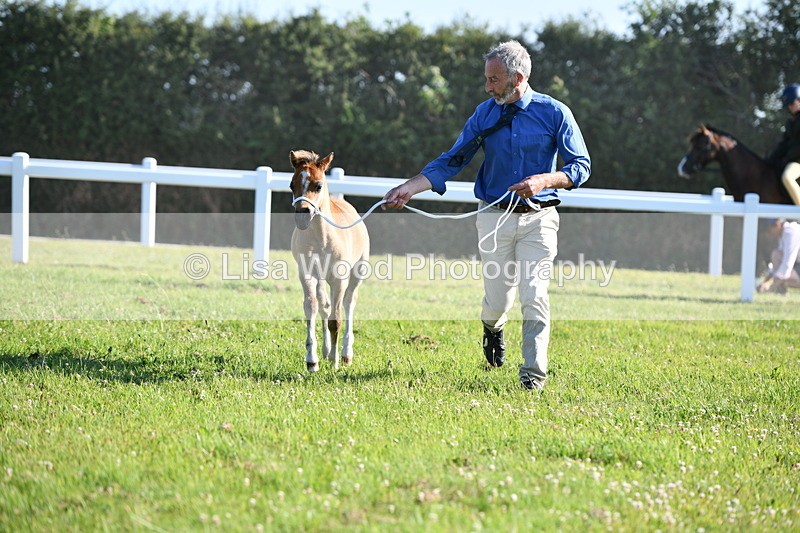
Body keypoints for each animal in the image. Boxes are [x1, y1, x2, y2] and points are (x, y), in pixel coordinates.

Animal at [289, 150, 370, 372]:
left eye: (318, 185)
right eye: (291, 185)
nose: (302, 216)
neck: (322, 239)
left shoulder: (339, 279)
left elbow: (336, 319)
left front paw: (335, 362)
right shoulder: (307, 274)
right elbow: (312, 308)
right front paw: (312, 360)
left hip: (358, 272)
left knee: (349, 303)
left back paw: (345, 354)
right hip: (320, 279)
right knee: (324, 305)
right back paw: (326, 351)